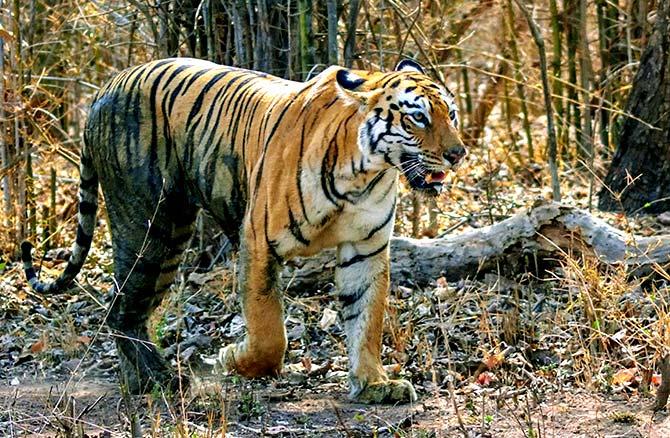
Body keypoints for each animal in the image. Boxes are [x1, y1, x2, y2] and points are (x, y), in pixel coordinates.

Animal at [25, 57, 468, 404]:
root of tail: (107, 86)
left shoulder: (366, 247)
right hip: (148, 225)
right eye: (418, 117)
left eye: (451, 114)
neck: (365, 174)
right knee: (120, 306)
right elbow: (269, 331)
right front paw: (230, 359)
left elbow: (366, 318)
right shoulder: (258, 241)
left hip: (171, 236)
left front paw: (373, 384)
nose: (458, 153)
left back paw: (140, 380)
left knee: (129, 307)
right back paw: (160, 379)